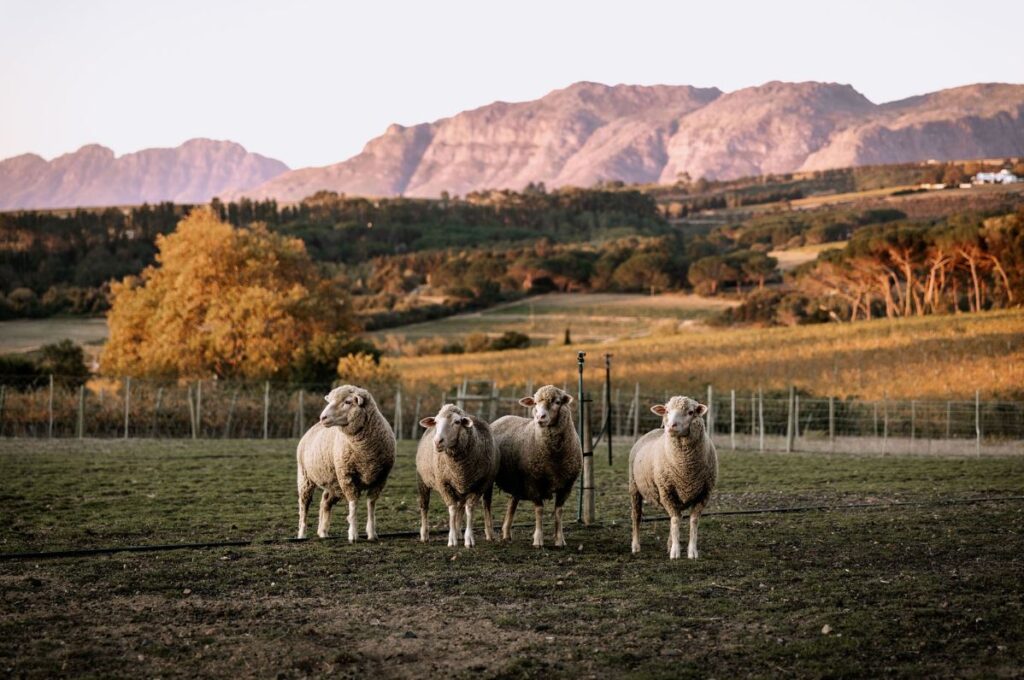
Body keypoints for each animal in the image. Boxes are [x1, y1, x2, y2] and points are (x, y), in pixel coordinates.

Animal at [296, 384, 396, 542]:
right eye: (329, 401)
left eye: (348, 402)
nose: (323, 417)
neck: (365, 452)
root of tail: (313, 427)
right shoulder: (348, 477)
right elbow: (353, 505)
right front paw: (353, 534)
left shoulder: (380, 479)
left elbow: (371, 505)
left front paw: (372, 533)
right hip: (305, 477)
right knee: (303, 506)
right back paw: (301, 534)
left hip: (334, 482)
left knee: (325, 502)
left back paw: (323, 532)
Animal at [416, 404, 499, 548]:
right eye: (436, 422)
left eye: (457, 422)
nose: (437, 441)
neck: (459, 469)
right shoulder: (444, 484)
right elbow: (452, 509)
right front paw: (452, 539)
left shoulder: (479, 485)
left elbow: (469, 509)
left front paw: (468, 539)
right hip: (423, 480)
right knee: (424, 506)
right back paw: (425, 535)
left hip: (483, 485)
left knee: (484, 505)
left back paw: (484, 533)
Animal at [491, 385, 582, 548]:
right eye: (534, 403)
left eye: (557, 402)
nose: (540, 417)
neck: (554, 458)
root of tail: (503, 417)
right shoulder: (533, 482)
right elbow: (539, 510)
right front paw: (538, 540)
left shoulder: (567, 485)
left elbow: (559, 511)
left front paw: (559, 540)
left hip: (517, 483)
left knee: (512, 504)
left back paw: (506, 534)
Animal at [629, 395, 718, 559]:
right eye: (667, 411)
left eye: (690, 412)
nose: (671, 426)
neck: (686, 469)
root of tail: (656, 429)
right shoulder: (667, 491)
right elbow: (675, 520)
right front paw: (675, 552)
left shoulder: (704, 494)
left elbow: (692, 521)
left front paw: (691, 551)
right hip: (634, 487)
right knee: (636, 515)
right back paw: (636, 546)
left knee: (674, 515)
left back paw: (669, 544)